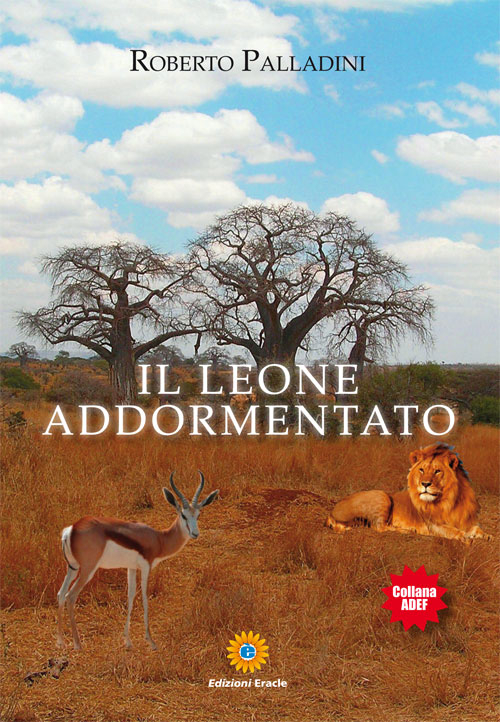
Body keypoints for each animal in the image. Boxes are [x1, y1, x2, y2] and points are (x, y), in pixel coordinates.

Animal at [325, 443, 491, 543]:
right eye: (422, 470)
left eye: (437, 471)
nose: (425, 484)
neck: (451, 500)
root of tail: (332, 511)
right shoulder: (433, 525)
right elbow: (453, 531)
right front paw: (466, 537)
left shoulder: (468, 521)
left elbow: (476, 528)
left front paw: (487, 535)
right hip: (382, 496)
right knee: (379, 527)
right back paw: (409, 530)